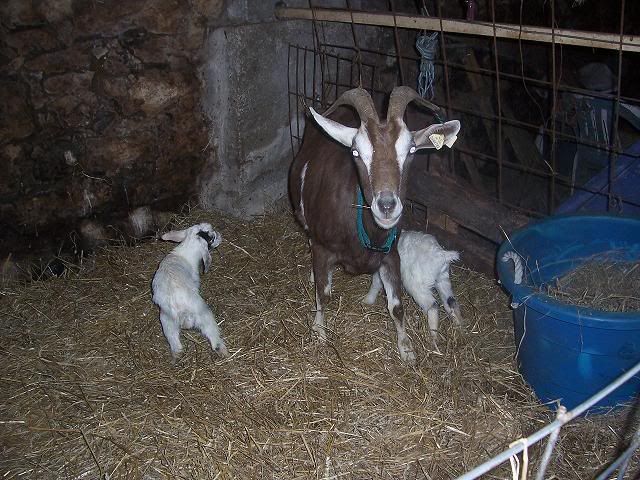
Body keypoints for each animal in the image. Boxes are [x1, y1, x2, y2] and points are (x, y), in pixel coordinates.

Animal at [151, 223, 229, 361]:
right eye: (213, 237)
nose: (220, 236)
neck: (185, 253)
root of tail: (175, 303)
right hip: (202, 312)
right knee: (211, 332)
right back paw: (222, 350)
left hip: (166, 319)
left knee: (173, 339)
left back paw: (177, 355)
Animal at [289, 87, 460, 363]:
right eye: (355, 152)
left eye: (411, 150)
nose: (387, 205)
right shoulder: (324, 249)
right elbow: (323, 295)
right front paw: (319, 332)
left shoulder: (391, 254)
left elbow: (397, 306)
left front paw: (407, 349)